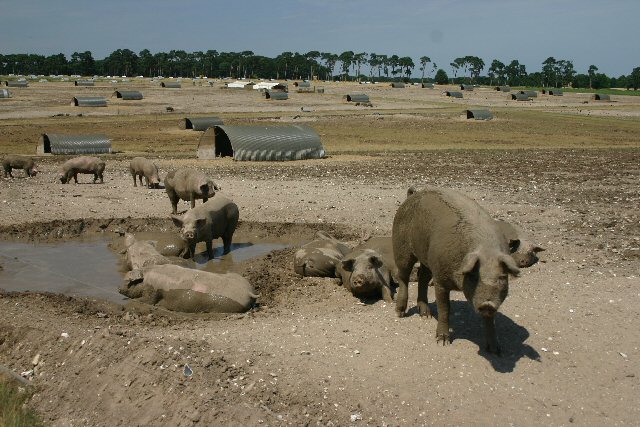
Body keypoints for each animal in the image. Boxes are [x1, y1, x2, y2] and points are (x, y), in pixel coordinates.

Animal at [392, 186, 524, 356]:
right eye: (474, 276)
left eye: (502, 277)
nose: (488, 303)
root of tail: (412, 195)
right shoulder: (440, 279)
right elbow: (445, 309)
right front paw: (442, 342)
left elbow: (490, 320)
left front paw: (495, 350)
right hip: (401, 247)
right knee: (403, 277)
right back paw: (400, 313)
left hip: (427, 258)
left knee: (423, 277)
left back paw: (426, 315)